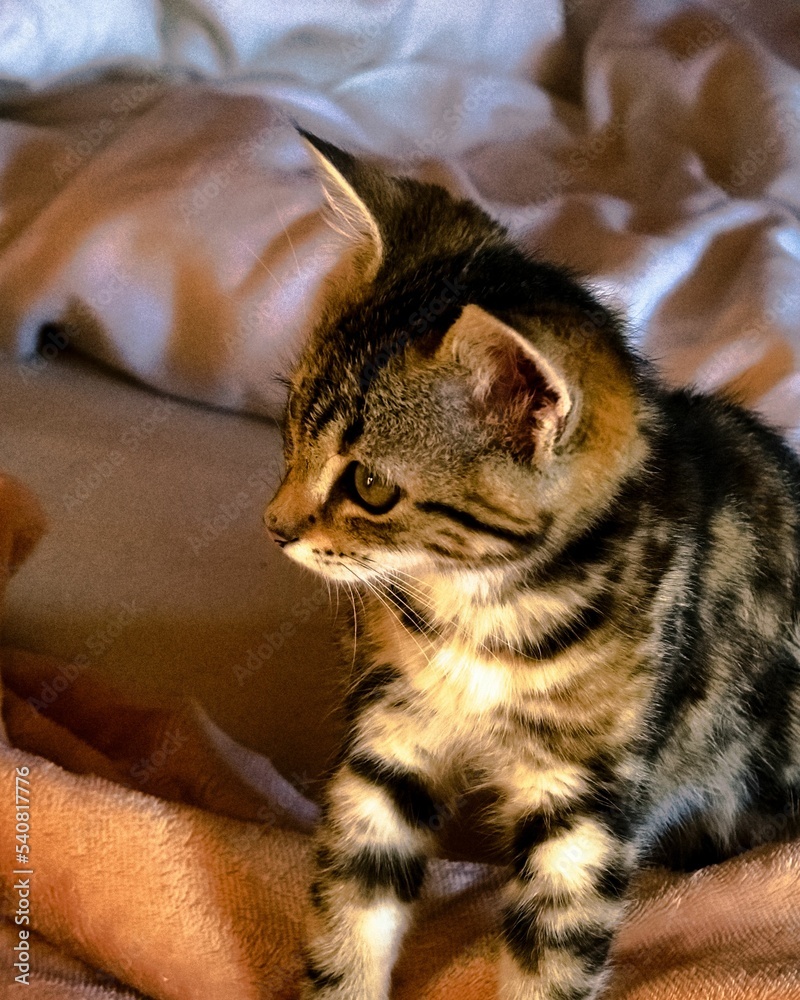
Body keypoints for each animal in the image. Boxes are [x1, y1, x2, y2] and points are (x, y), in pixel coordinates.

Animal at [266, 131, 800, 1000]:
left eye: (371, 487)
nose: (274, 527)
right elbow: (354, 892)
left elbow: (554, 948)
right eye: (289, 433)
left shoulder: (584, 799)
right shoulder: (392, 738)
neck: (483, 598)